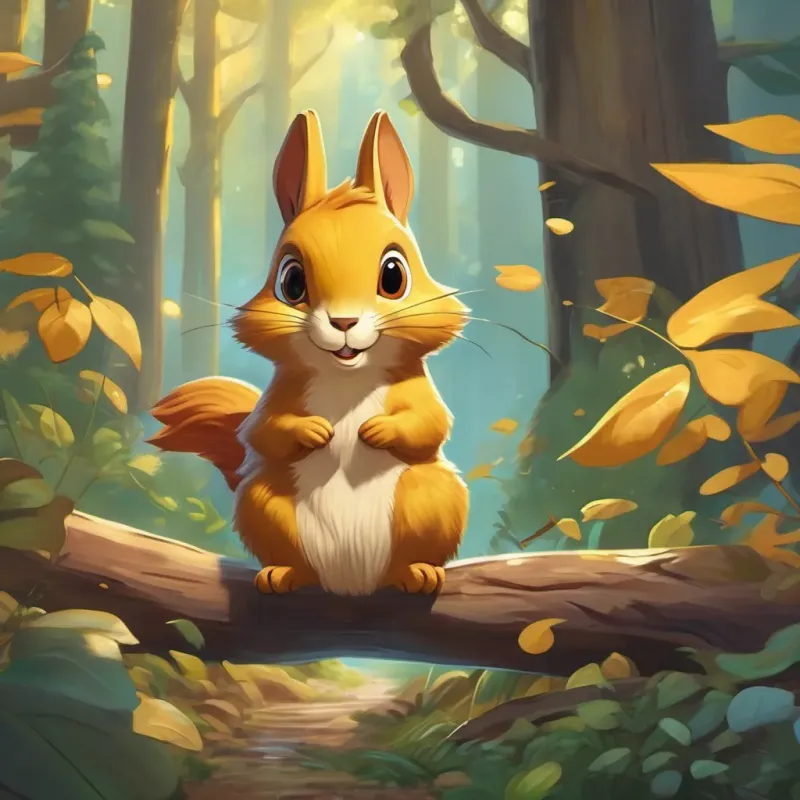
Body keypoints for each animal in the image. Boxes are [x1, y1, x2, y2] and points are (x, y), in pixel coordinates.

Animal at [147, 109, 469, 597]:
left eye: (394, 276)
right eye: (291, 282)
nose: (344, 322)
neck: (346, 376)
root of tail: (351, 583)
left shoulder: (418, 390)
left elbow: (429, 424)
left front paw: (378, 430)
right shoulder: (278, 396)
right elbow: (263, 431)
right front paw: (314, 431)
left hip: (432, 498)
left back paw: (416, 570)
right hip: (265, 504)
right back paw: (282, 573)